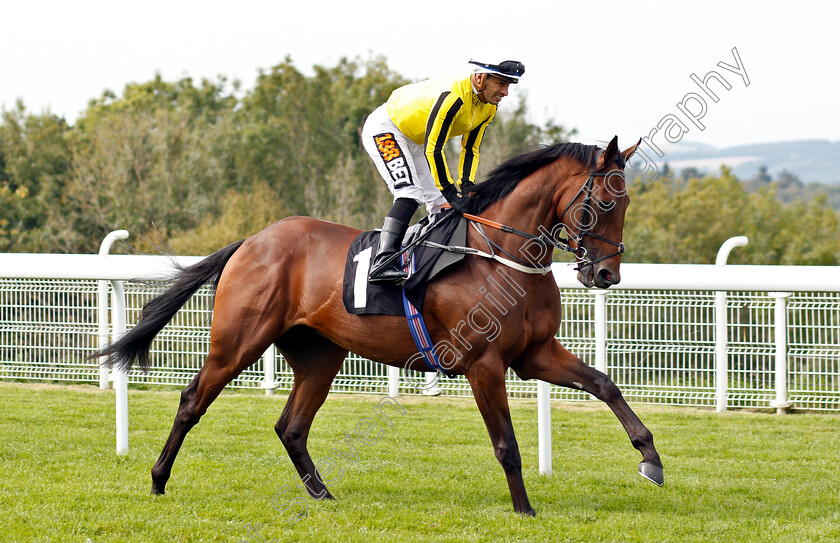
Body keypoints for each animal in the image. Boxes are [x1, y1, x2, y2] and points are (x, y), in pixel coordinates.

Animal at [95, 135, 664, 516]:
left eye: (627, 201)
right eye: (605, 201)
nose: (607, 274)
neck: (500, 254)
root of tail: (252, 240)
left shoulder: (534, 353)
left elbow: (605, 385)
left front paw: (650, 459)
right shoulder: (484, 363)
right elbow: (505, 442)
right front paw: (524, 509)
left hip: (319, 355)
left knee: (291, 426)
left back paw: (322, 492)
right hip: (238, 341)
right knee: (193, 400)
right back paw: (158, 479)